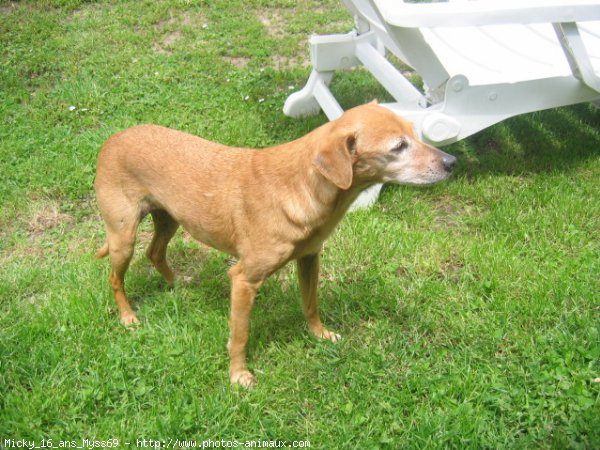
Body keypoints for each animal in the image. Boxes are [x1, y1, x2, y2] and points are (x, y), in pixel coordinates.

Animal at [96, 103, 458, 386]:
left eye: (415, 132)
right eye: (398, 146)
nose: (451, 162)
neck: (303, 185)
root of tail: (112, 139)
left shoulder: (310, 257)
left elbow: (311, 304)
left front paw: (320, 335)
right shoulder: (244, 279)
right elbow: (239, 336)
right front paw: (238, 375)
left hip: (169, 218)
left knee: (155, 252)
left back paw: (177, 284)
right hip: (123, 237)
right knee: (115, 277)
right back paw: (128, 317)